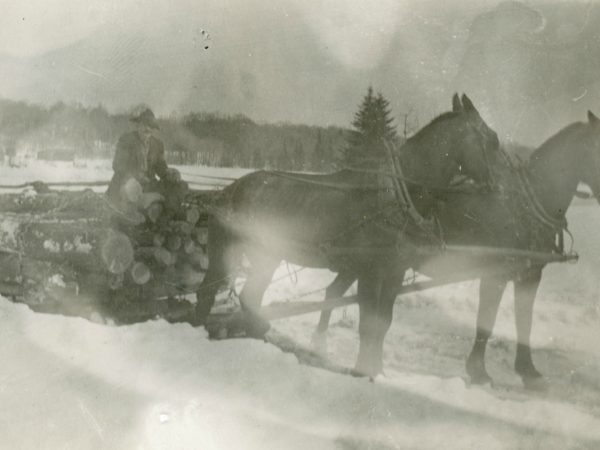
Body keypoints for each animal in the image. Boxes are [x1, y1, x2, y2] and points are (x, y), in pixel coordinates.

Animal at [195, 95, 500, 376]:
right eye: (494, 140)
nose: (497, 190)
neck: (396, 196)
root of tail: (228, 190)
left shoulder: (395, 272)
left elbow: (383, 324)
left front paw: (376, 371)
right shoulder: (370, 271)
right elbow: (367, 325)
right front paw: (362, 371)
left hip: (266, 255)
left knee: (249, 296)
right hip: (227, 250)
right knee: (208, 290)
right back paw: (200, 332)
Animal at [316, 110, 600, 388]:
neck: (525, 204)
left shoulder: (530, 274)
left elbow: (525, 321)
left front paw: (529, 372)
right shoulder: (495, 274)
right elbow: (487, 321)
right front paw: (479, 372)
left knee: (334, 291)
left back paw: (321, 345)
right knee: (337, 293)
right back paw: (322, 347)